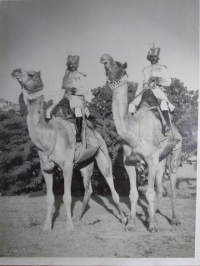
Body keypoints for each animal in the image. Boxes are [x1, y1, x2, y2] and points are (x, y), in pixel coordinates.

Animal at [10, 67, 126, 232]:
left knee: (110, 182)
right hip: (85, 163)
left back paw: (124, 219)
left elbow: (67, 197)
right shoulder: (46, 168)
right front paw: (47, 226)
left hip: (102, 154)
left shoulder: (67, 166)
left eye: (32, 74)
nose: (16, 71)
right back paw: (78, 216)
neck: (49, 137)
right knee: (88, 188)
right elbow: (50, 198)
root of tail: (97, 134)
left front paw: (69, 227)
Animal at [101, 53, 182, 231]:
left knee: (172, 187)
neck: (133, 131)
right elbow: (133, 194)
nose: (104, 57)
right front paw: (131, 223)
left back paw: (174, 219)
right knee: (160, 188)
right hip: (161, 158)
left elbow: (149, 193)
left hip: (175, 152)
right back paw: (154, 216)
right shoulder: (129, 162)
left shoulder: (151, 159)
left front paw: (151, 226)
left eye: (118, 64)